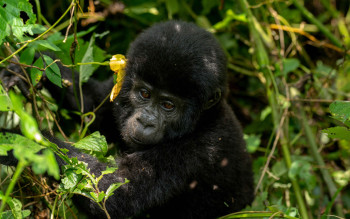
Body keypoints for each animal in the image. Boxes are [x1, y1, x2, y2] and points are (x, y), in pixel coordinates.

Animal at [0, 20, 253, 217]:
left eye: (168, 105)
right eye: (144, 94)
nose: (145, 121)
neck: (203, 120)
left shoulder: (202, 149)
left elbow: (110, 194)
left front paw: (16, 142)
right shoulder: (120, 91)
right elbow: (90, 107)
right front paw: (31, 63)